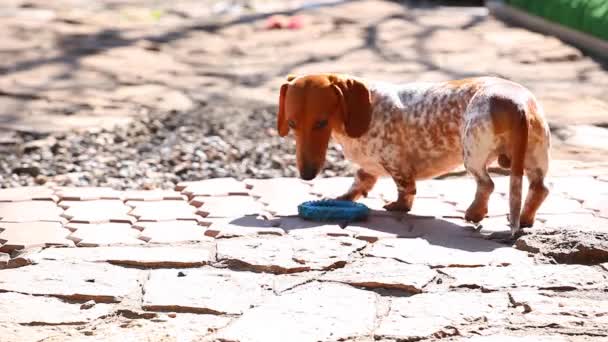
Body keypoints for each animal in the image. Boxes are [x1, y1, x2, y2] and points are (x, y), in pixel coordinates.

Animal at [278, 74, 552, 235]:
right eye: (291, 123)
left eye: (321, 123)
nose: (306, 175)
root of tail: (516, 102)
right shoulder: (369, 168)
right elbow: (359, 182)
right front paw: (342, 198)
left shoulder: (394, 162)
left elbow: (405, 187)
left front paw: (399, 206)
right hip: (534, 158)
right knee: (540, 188)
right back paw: (525, 218)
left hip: (472, 153)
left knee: (487, 184)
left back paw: (474, 213)